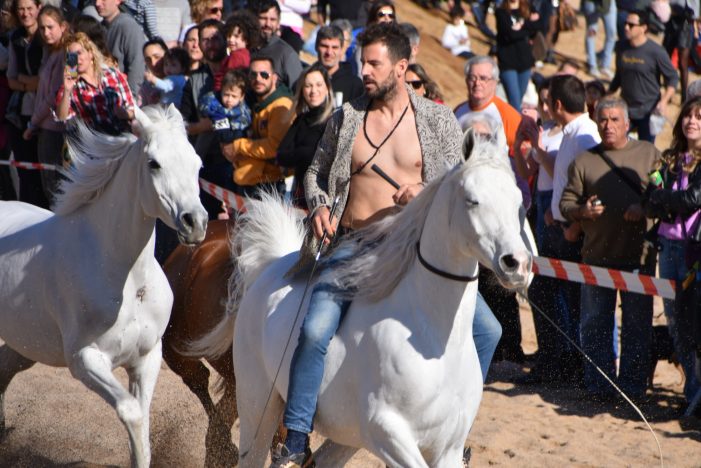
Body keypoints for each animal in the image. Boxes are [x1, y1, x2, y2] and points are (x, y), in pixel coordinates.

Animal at [0, 105, 208, 468]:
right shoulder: (85, 360)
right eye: (154, 163)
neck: (128, 282)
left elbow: (144, 426)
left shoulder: (147, 358)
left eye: (197, 163)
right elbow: (131, 412)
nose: (195, 223)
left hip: (25, 344)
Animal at [200, 131, 532, 464]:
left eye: (519, 203)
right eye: (472, 200)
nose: (517, 263)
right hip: (258, 407)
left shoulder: (447, 450)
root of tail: (271, 266)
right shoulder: (386, 430)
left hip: (347, 436)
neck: (431, 339)